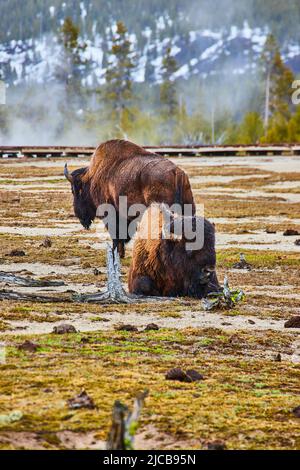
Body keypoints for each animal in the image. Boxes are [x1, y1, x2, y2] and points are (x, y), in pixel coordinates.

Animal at [64, 139, 195, 258]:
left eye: (74, 191)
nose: (79, 215)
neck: (92, 177)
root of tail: (177, 173)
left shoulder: (111, 214)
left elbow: (116, 234)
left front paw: (116, 253)